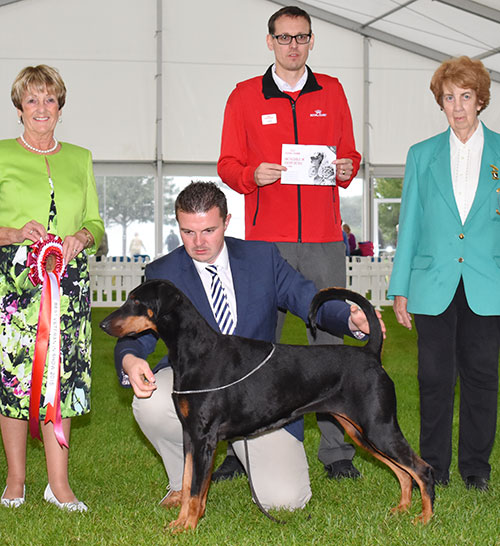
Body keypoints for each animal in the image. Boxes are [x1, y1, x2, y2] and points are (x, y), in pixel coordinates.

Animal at [100, 278, 434, 528]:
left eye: (136, 301)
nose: (103, 324)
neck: (197, 352)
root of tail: (370, 353)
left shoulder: (204, 437)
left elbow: (194, 489)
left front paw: (187, 527)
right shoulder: (190, 437)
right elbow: (188, 483)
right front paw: (182, 522)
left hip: (378, 426)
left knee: (422, 469)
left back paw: (424, 518)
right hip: (361, 432)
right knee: (404, 472)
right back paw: (402, 509)